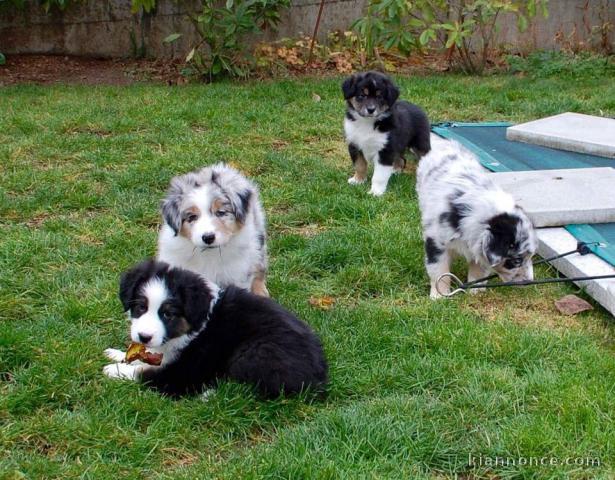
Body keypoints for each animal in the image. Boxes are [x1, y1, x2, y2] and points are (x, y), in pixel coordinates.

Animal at [103, 260, 330, 400]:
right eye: (141, 307)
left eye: (168, 314)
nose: (144, 336)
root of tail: (319, 379)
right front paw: (118, 354)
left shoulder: (185, 371)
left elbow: (148, 374)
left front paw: (115, 370)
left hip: (254, 353)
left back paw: (209, 395)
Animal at [418, 137, 540, 298]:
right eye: (517, 260)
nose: (529, 282)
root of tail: (445, 142)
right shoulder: (436, 242)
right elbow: (439, 270)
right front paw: (439, 296)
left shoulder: (478, 245)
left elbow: (479, 270)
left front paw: (476, 292)